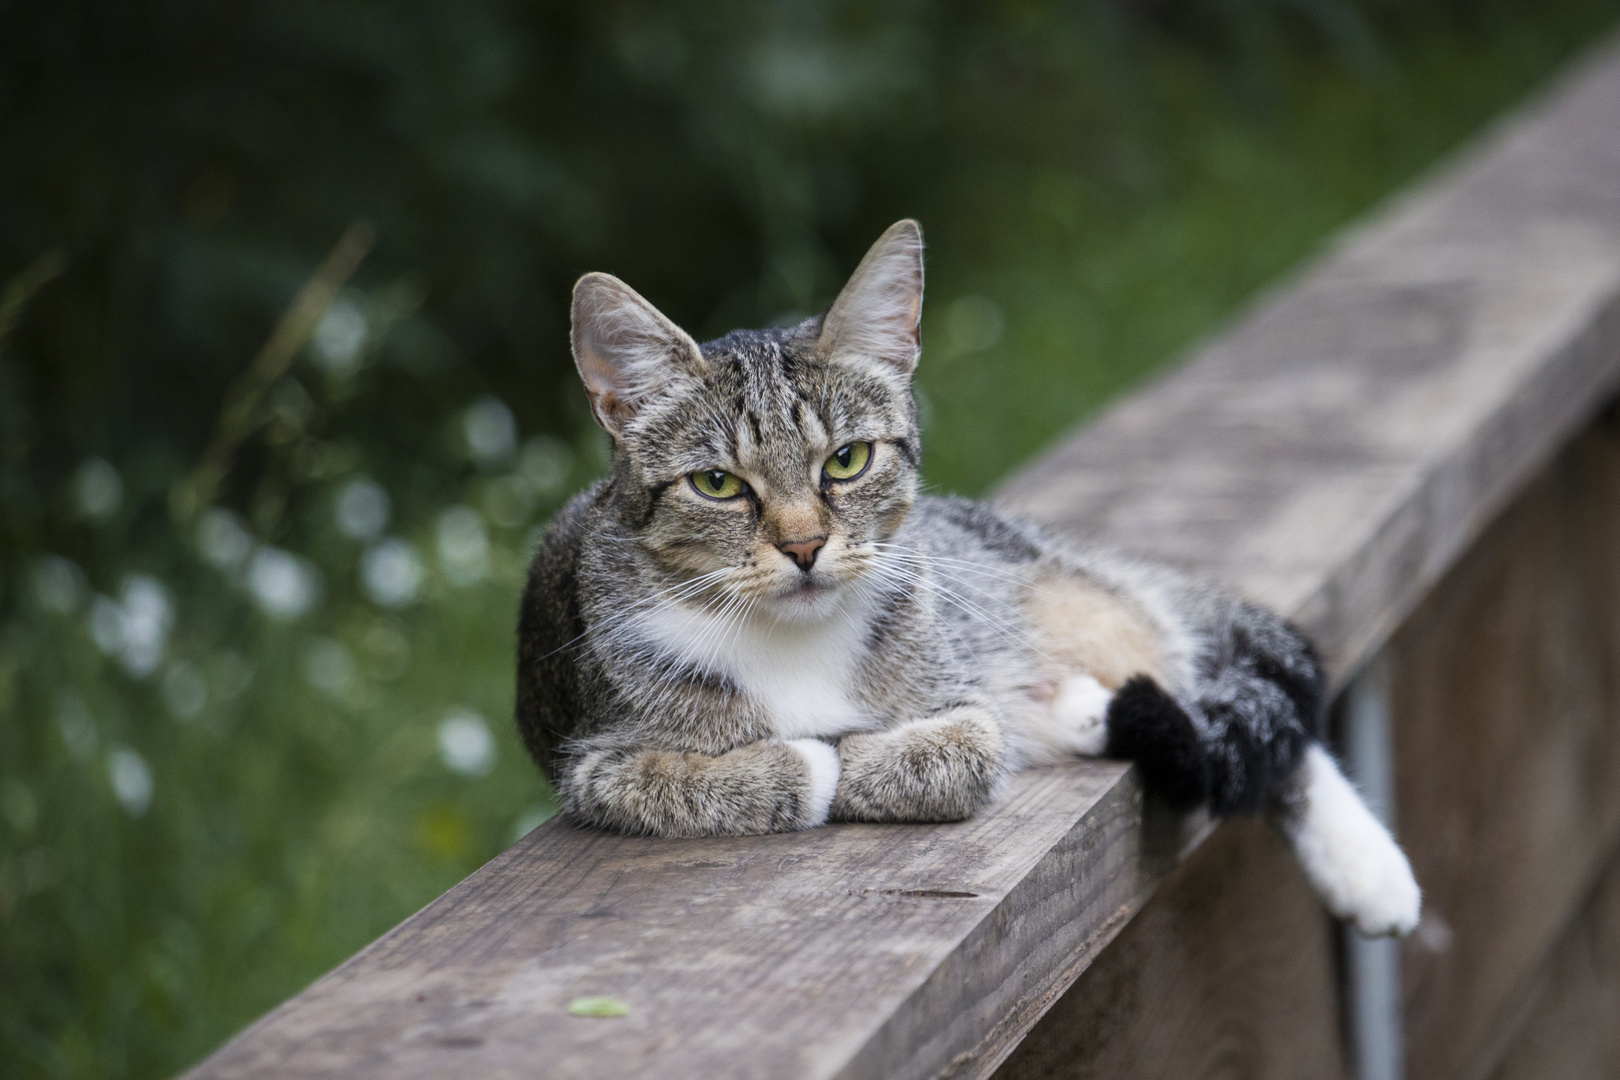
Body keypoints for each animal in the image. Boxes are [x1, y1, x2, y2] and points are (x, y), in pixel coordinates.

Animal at [518, 216, 1419, 939]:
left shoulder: (959, 696)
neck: (793, 639)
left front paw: (855, 754)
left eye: (846, 461)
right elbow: (715, 773)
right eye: (717, 485)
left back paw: (1370, 867)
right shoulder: (591, 763)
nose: (805, 547)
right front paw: (809, 758)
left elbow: (959, 749)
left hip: (1085, 610)